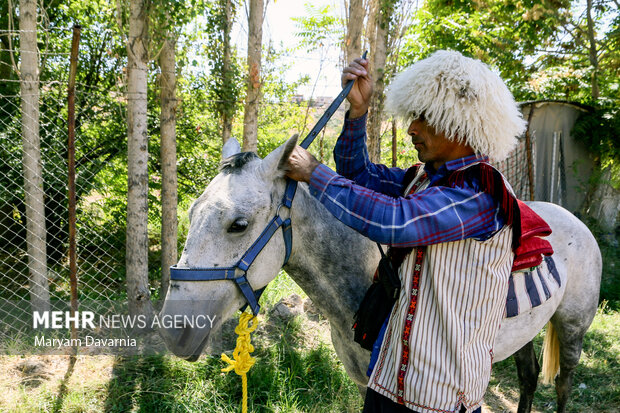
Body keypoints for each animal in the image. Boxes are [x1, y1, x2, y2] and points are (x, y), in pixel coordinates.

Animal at [160, 137, 600, 410]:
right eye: (192, 213)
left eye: (238, 224)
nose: (174, 329)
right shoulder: (362, 384)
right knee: (528, 378)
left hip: (572, 328)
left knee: (563, 385)